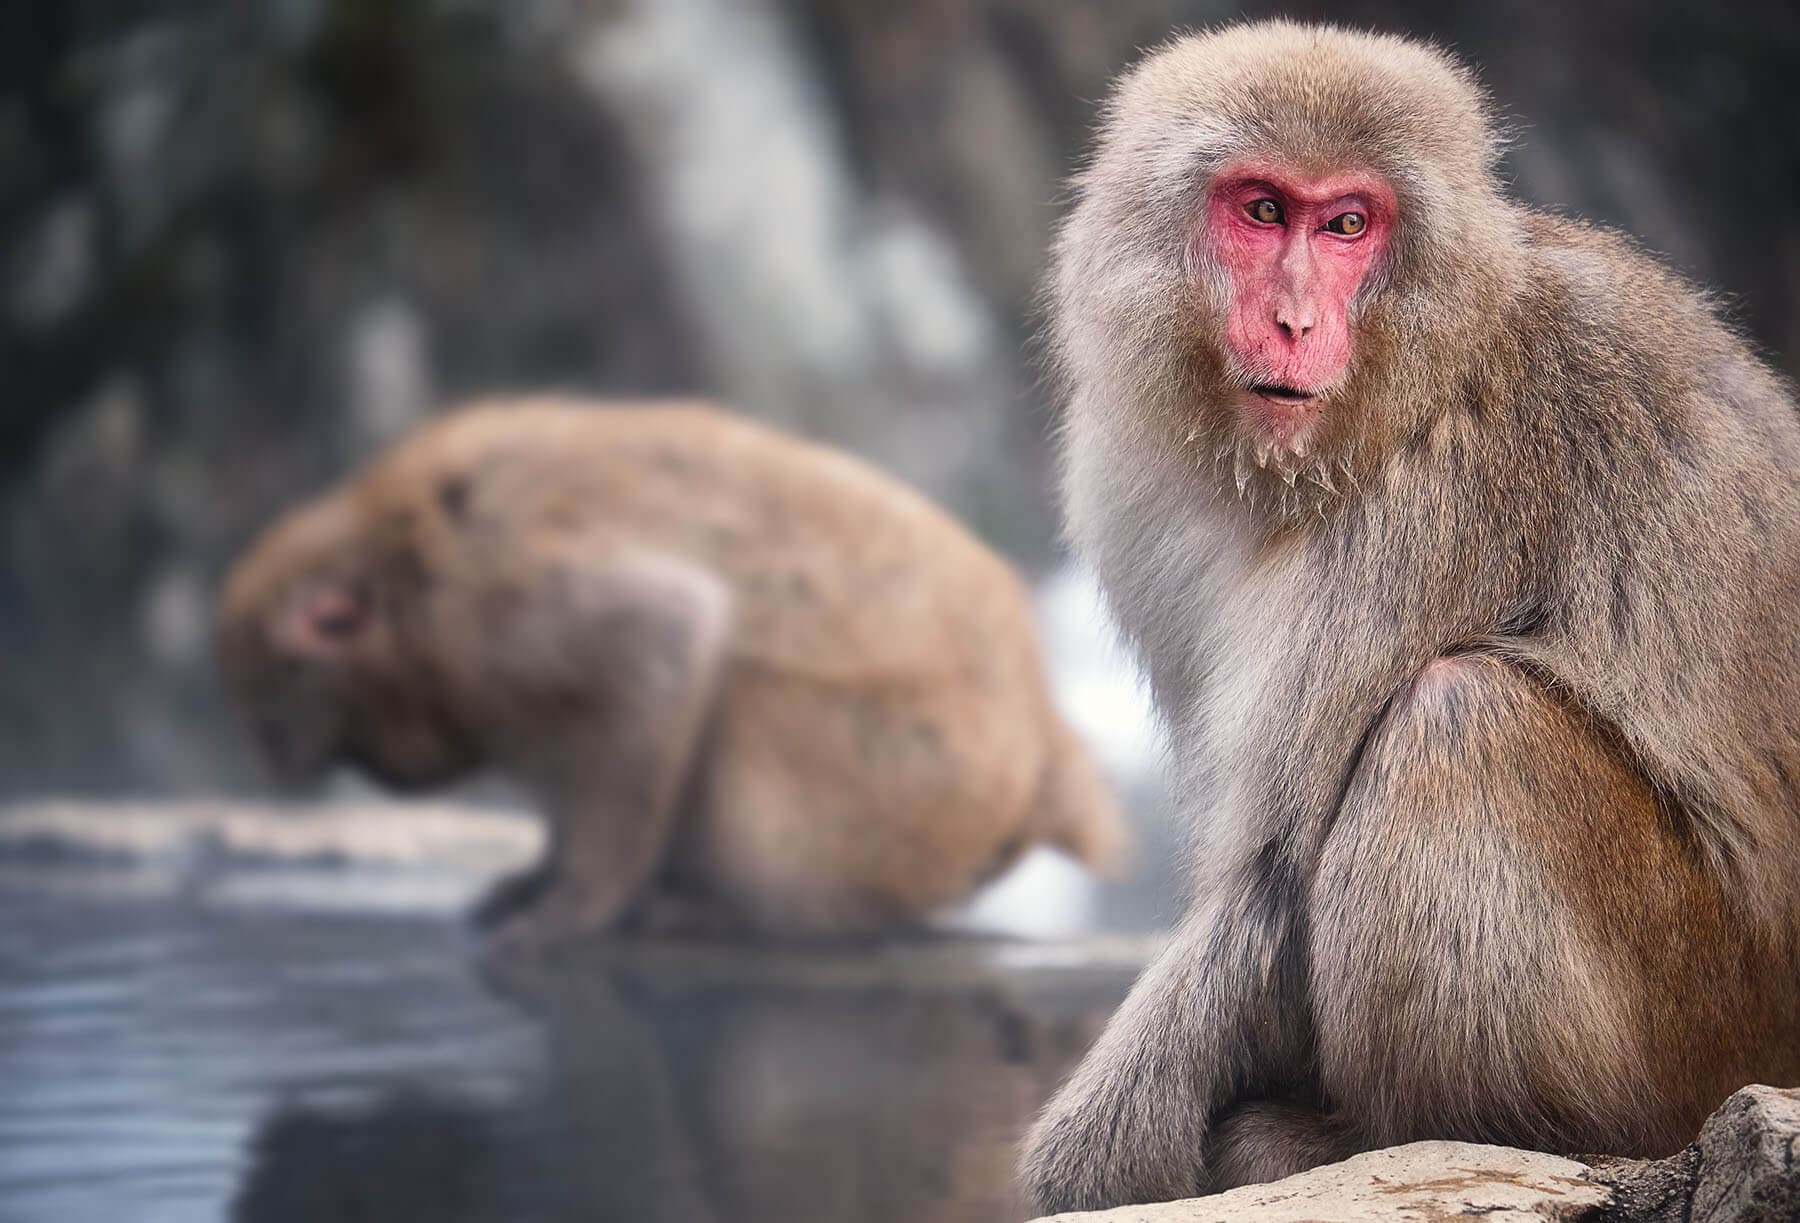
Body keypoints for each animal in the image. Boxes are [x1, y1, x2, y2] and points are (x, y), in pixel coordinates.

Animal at [215, 398, 1125, 950]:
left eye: (283, 718)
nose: (299, 764)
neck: (399, 564)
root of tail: (1044, 749)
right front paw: (540, 875)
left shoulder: (493, 608)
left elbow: (665, 637)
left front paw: (575, 909)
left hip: (910, 782)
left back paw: (722, 912)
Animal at [1018, 20, 1800, 1214]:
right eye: (1262, 209)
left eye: (1349, 224)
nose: (1294, 321)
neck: (1404, 385)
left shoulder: (1455, 485)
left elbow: (1273, 873)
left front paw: (1089, 1162)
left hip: (1709, 1015)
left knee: (1459, 714)